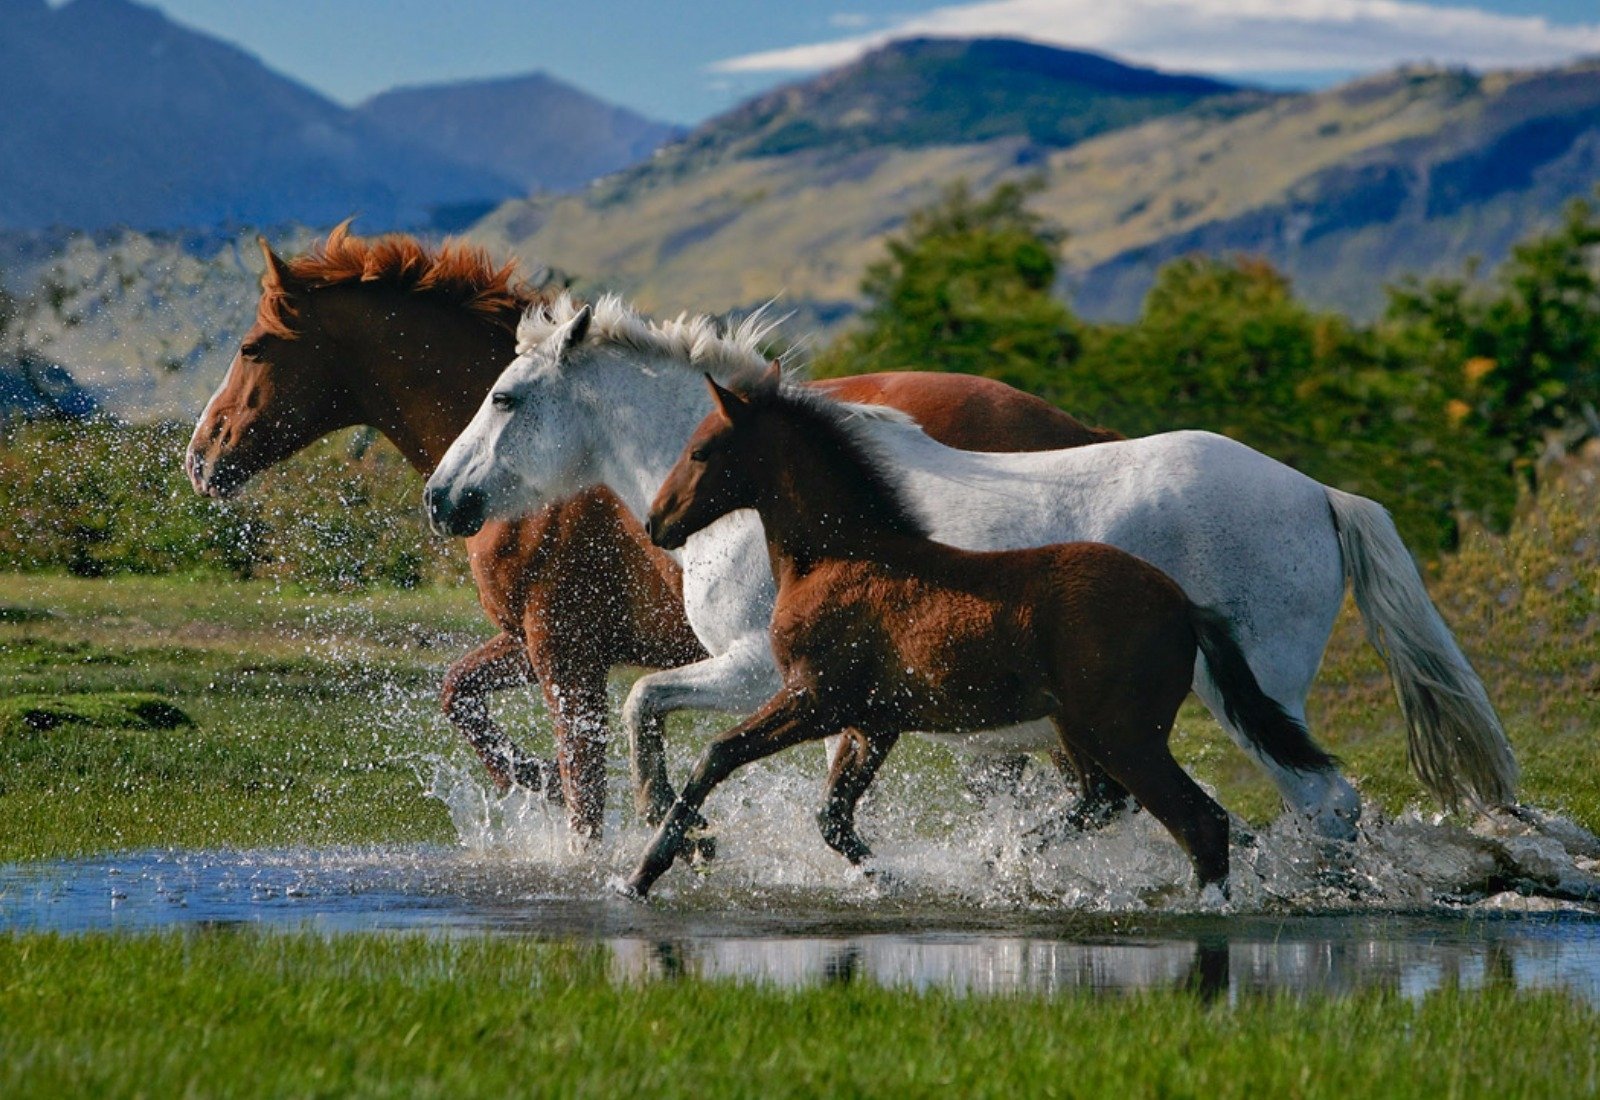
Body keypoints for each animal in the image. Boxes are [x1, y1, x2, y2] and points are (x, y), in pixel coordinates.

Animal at [184, 224, 1118, 840]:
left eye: (254, 346)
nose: (200, 457)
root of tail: (1079, 432)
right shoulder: (542, 643)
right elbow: (462, 696)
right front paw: (539, 783)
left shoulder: (564, 650)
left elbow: (586, 787)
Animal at [423, 294, 1518, 842]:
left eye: (508, 396)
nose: (443, 499)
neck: (777, 502)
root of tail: (1319, 493)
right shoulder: (847, 696)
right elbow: (832, 793)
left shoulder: (761, 669)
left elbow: (646, 701)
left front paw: (675, 828)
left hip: (1252, 699)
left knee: (1321, 803)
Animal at [625, 370, 1333, 897]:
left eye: (701, 450)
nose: (657, 523)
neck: (843, 556)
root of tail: (1184, 606)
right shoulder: (874, 721)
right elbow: (832, 817)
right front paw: (890, 878)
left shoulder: (814, 698)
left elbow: (715, 756)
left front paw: (646, 870)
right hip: (1082, 731)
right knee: (1111, 802)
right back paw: (1011, 859)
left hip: (1124, 734)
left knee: (1202, 821)